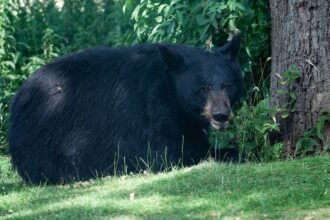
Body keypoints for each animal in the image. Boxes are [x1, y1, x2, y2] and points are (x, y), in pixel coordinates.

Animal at [8, 34, 242, 184]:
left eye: (228, 85)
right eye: (203, 88)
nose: (221, 115)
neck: (169, 91)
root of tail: (18, 97)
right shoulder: (147, 117)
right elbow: (168, 154)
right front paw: (230, 152)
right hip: (47, 134)